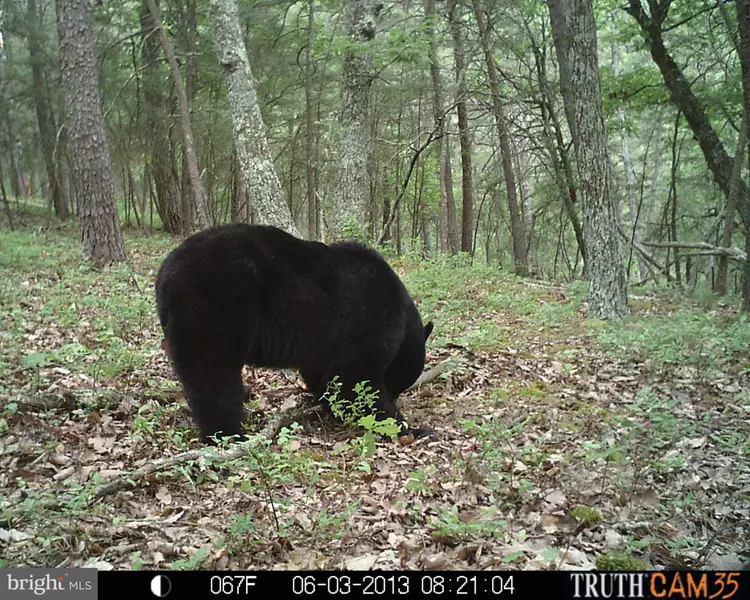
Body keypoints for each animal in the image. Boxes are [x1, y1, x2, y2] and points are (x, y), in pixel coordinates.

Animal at [155, 223, 432, 442]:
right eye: (397, 382)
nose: (395, 394)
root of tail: (165, 275)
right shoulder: (371, 320)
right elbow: (357, 376)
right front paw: (411, 428)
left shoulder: (326, 345)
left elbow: (325, 374)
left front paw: (332, 406)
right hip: (217, 303)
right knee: (213, 373)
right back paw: (229, 434)